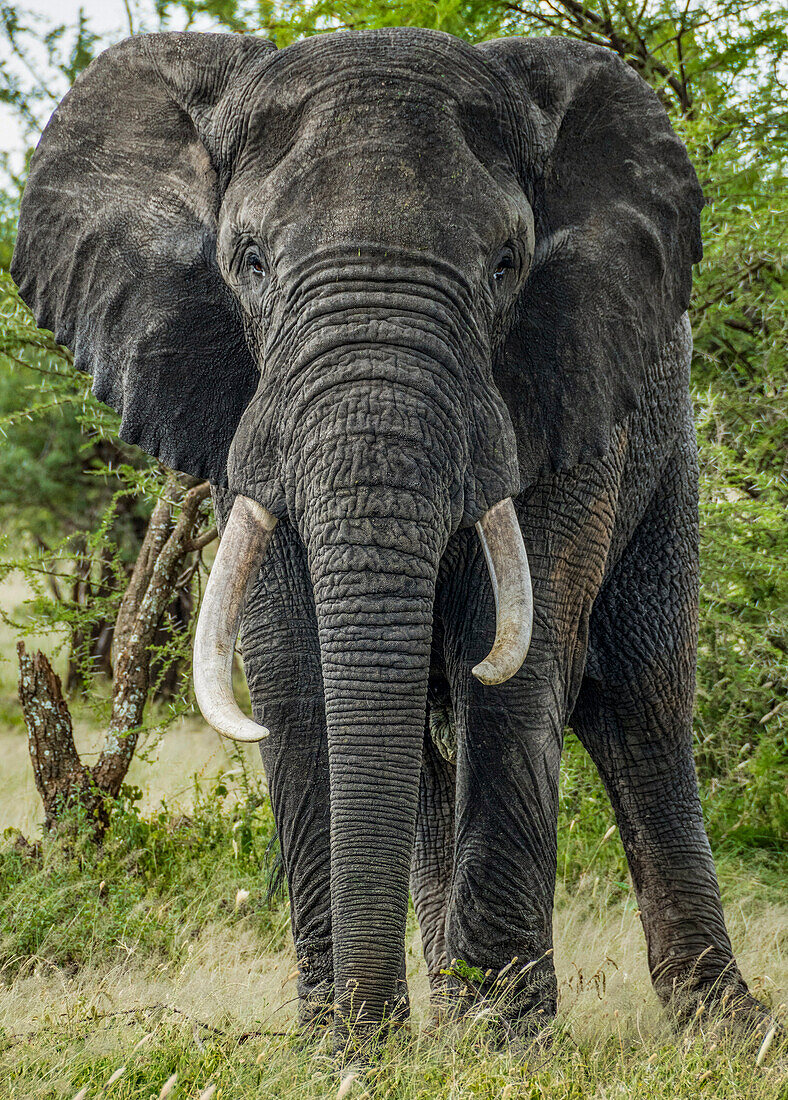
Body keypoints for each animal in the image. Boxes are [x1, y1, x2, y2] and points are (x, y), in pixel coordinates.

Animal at [10, 27, 770, 1047]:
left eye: (505, 264)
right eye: (249, 261)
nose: (374, 1035)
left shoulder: (562, 389)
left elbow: (516, 662)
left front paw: (503, 1045)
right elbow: (294, 673)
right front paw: (347, 1043)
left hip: (665, 443)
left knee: (640, 705)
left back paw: (723, 1026)